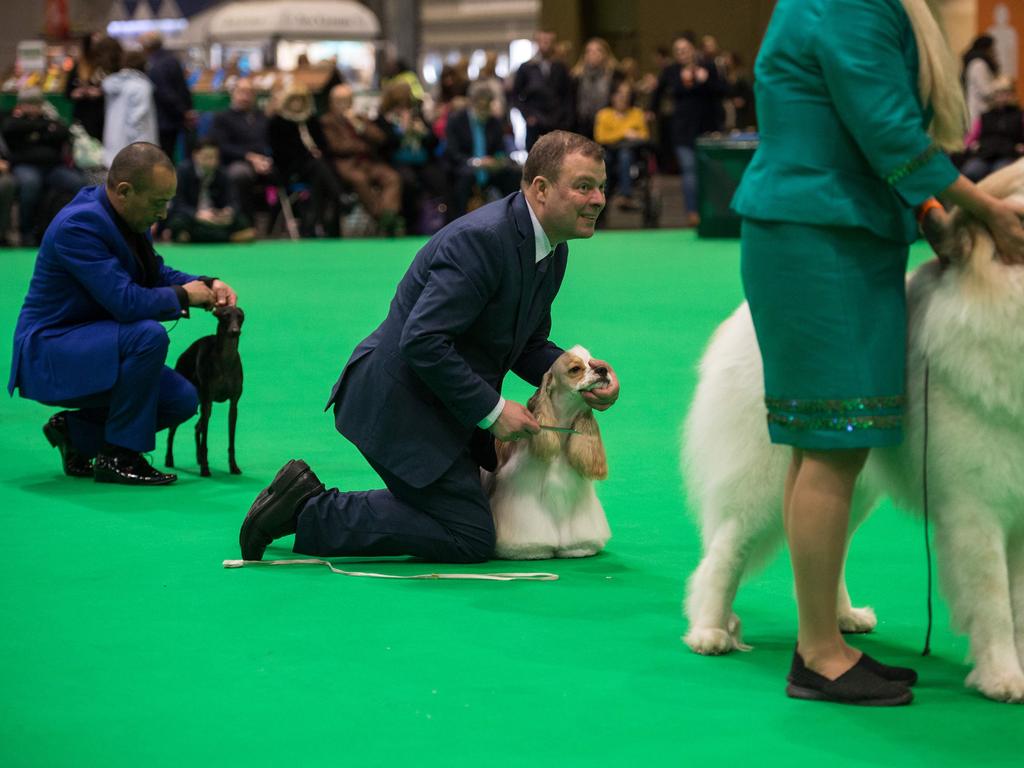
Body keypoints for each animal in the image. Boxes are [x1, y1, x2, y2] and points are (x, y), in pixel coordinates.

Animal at [483, 348, 610, 561]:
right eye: (575, 369)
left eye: (594, 362)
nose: (602, 370)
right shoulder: (522, 497)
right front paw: (530, 550)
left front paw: (578, 547)